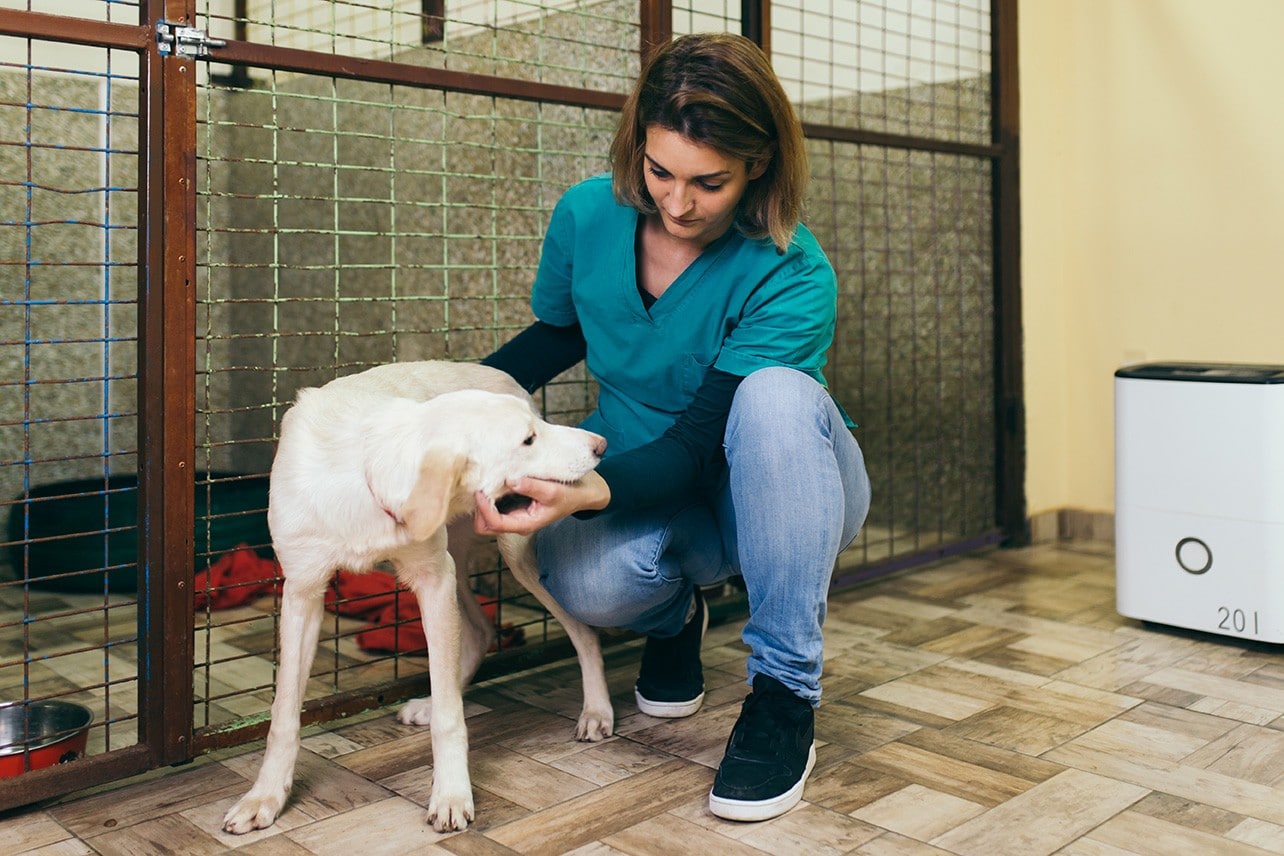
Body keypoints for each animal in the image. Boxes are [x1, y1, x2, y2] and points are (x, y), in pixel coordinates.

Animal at [223, 361, 613, 836]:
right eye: (528, 439)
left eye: (535, 429)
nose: (600, 445)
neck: (365, 468)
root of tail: (501, 373)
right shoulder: (302, 593)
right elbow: (282, 715)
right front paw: (265, 796)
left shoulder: (432, 581)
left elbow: (450, 719)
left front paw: (451, 794)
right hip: (457, 560)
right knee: (482, 631)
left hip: (509, 554)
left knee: (582, 632)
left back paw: (597, 710)